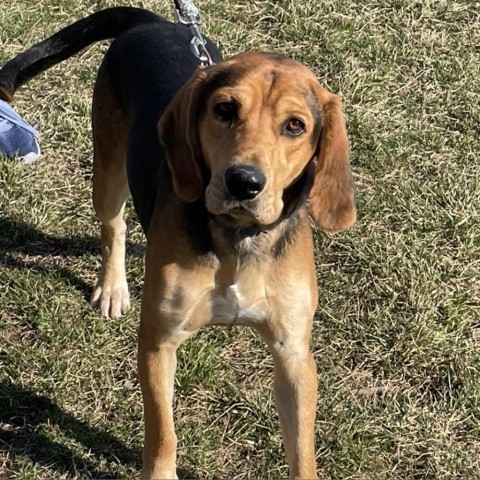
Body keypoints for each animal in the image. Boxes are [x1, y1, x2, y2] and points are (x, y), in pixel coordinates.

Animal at [0, 7, 356, 480]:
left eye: (295, 125)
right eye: (225, 109)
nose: (244, 182)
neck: (236, 239)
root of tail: (153, 22)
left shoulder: (293, 355)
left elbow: (301, 451)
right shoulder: (159, 341)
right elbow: (163, 433)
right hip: (108, 170)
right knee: (114, 227)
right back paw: (112, 288)